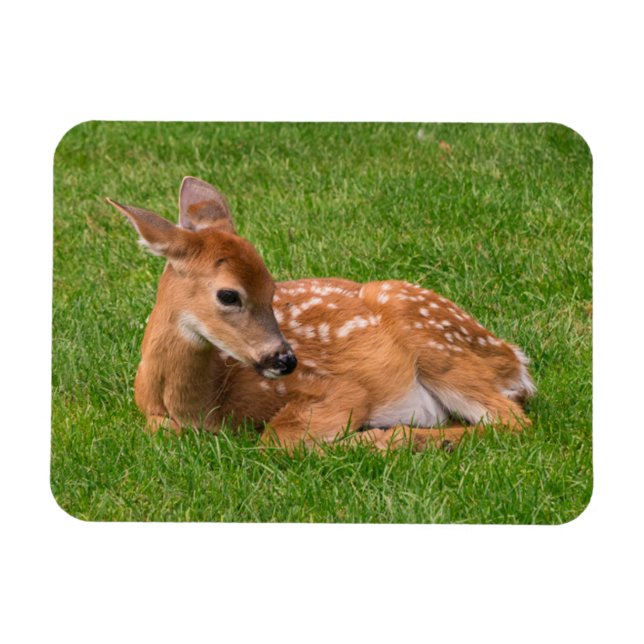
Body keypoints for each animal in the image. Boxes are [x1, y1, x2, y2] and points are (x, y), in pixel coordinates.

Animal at [106, 177, 535, 452]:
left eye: (273, 288)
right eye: (228, 295)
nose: (286, 360)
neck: (203, 402)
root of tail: (515, 360)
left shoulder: (338, 388)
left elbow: (277, 438)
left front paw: (370, 437)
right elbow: (163, 430)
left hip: (436, 343)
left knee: (513, 421)